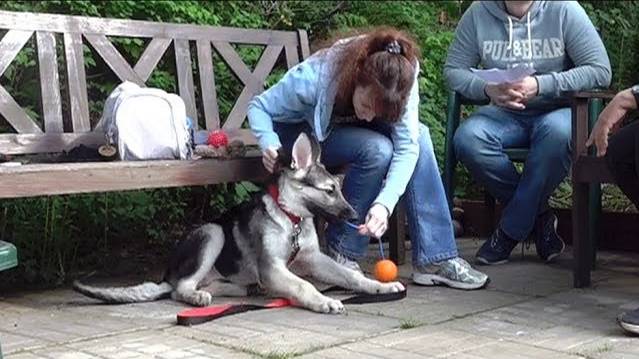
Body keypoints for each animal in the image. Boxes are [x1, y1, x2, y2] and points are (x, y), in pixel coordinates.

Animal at [75, 134, 404, 314]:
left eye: (339, 188)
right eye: (329, 191)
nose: (355, 215)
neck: (290, 219)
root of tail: (166, 275)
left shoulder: (314, 259)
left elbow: (351, 277)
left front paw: (378, 286)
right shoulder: (273, 268)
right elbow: (304, 285)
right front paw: (323, 301)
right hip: (213, 233)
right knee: (179, 288)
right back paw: (195, 296)